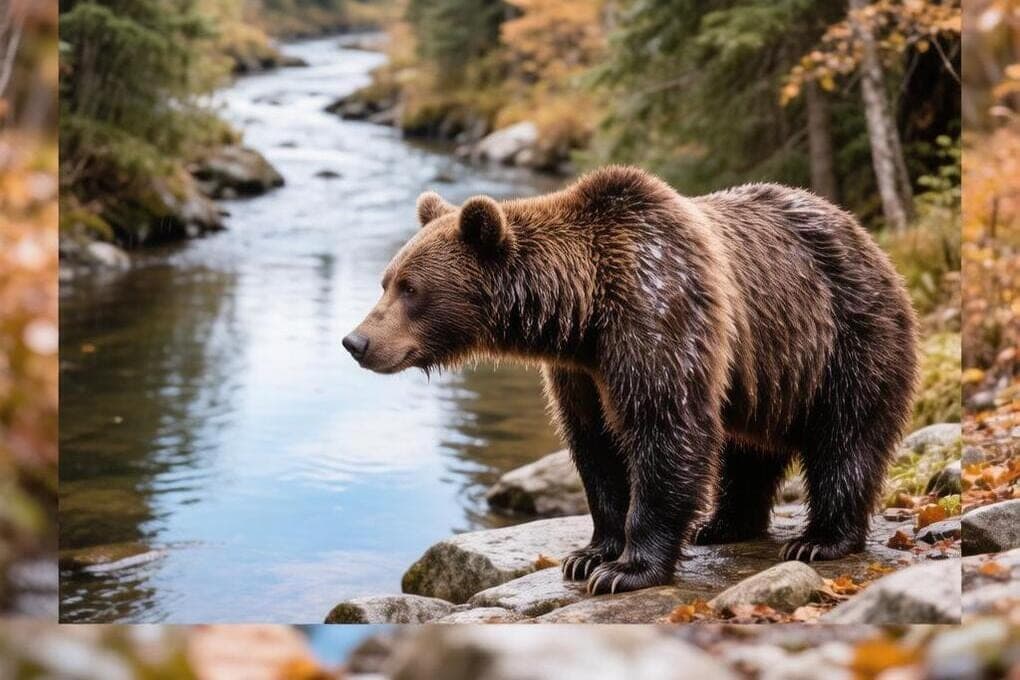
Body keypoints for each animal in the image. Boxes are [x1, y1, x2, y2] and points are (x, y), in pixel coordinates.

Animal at [343, 165, 917, 595]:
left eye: (410, 287)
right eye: (387, 281)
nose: (357, 341)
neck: (583, 314)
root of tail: (866, 236)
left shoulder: (658, 314)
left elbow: (665, 430)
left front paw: (626, 570)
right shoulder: (581, 372)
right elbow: (595, 448)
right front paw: (588, 554)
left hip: (847, 334)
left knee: (846, 436)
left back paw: (820, 539)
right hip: (766, 371)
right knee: (747, 450)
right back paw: (722, 525)